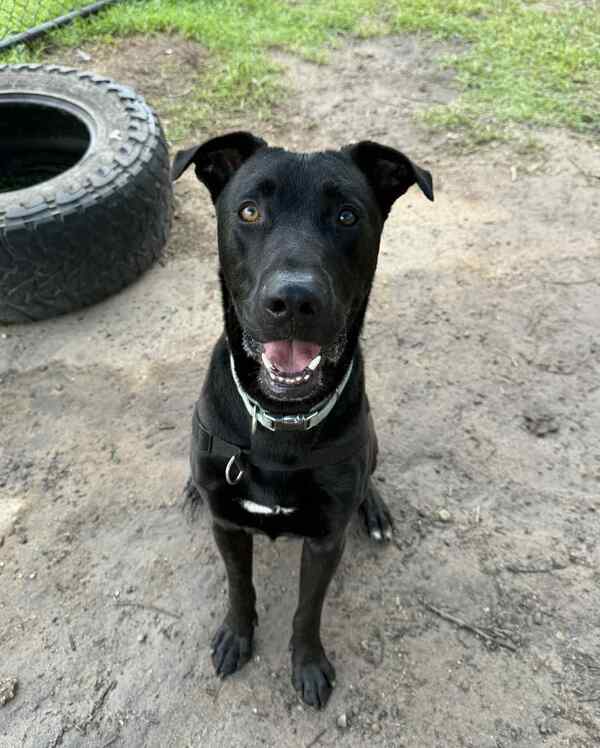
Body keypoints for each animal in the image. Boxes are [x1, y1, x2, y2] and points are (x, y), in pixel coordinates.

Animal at [172, 132, 433, 708]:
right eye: (249, 210)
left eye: (346, 216)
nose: (293, 300)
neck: (282, 421)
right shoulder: (227, 525)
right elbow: (239, 586)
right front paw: (236, 636)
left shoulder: (325, 540)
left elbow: (307, 610)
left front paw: (308, 664)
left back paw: (374, 509)